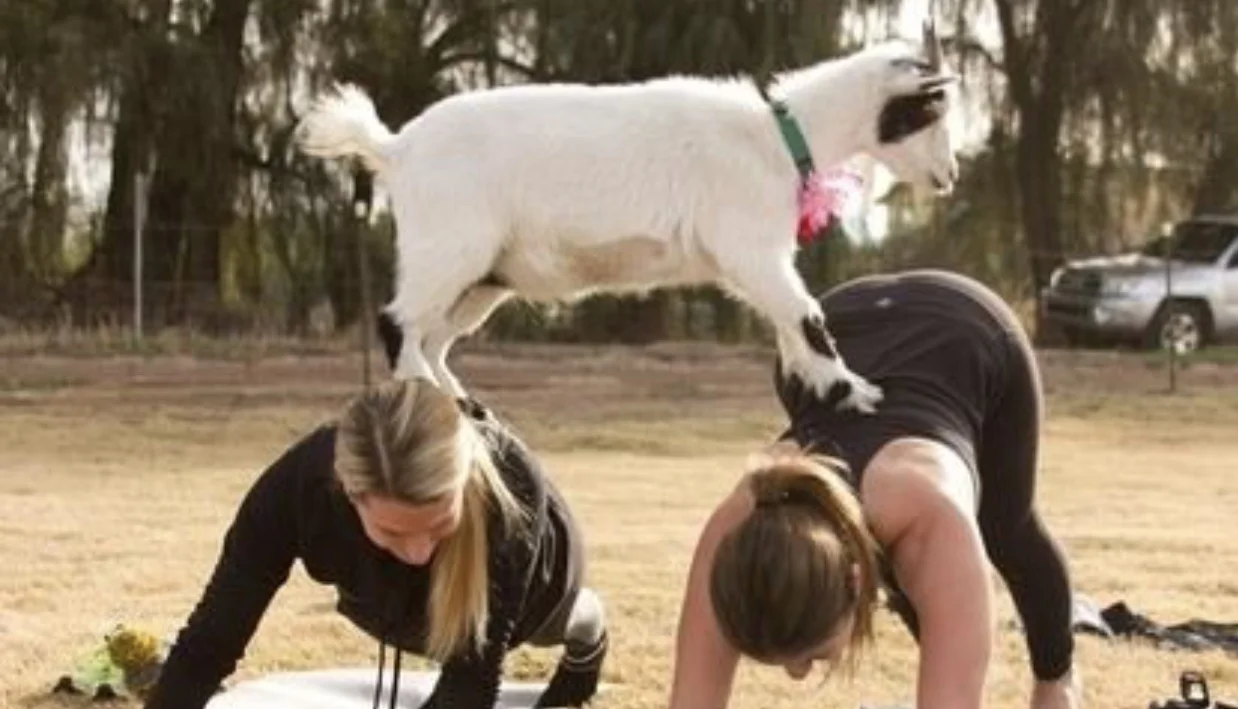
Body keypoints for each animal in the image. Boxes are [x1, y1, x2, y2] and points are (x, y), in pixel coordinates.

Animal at [296, 20, 959, 412]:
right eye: (931, 110)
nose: (948, 176)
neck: (775, 135)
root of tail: (395, 147)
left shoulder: (752, 263)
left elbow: (789, 326)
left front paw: (818, 386)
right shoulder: (751, 249)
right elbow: (808, 315)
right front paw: (859, 392)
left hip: (485, 277)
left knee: (433, 337)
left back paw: (462, 404)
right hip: (448, 247)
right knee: (397, 322)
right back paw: (429, 396)